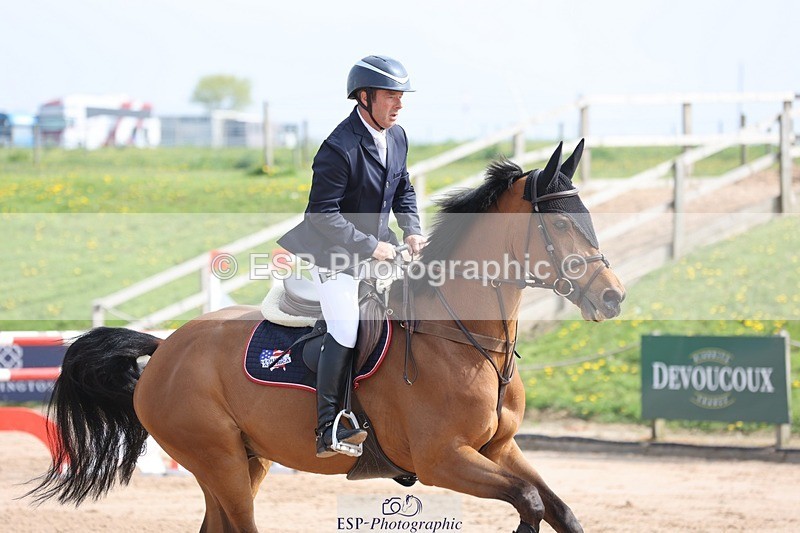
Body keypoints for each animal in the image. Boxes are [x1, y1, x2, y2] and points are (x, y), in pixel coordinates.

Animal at [28, 140, 625, 533]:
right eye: (561, 225)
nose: (613, 297)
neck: (467, 343)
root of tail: (167, 345)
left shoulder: (500, 448)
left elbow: (557, 508)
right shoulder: (443, 460)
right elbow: (529, 502)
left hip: (246, 461)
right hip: (219, 461)